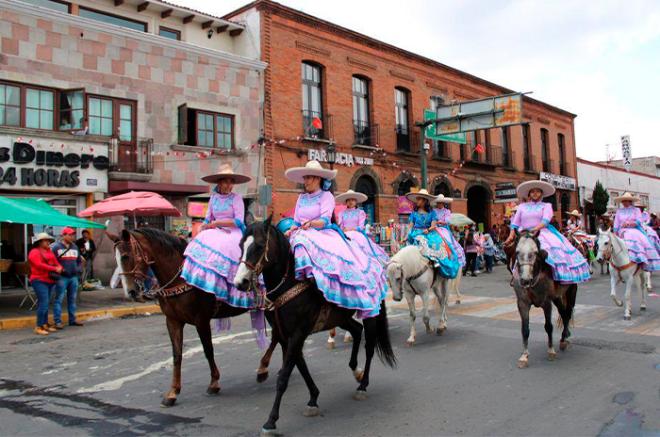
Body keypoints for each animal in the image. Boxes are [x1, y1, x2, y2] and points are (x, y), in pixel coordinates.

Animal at [111, 228, 268, 406]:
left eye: (125, 256)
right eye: (116, 258)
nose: (130, 292)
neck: (179, 277)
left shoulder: (201, 320)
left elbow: (208, 350)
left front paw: (214, 383)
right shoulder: (173, 321)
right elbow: (177, 355)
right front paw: (173, 392)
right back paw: (263, 368)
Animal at [233, 218, 394, 432]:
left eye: (259, 246)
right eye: (240, 245)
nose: (240, 282)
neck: (288, 282)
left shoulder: (298, 333)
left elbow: (284, 376)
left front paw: (271, 421)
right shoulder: (284, 335)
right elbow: (300, 365)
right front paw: (313, 399)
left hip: (371, 313)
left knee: (369, 346)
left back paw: (362, 385)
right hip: (340, 317)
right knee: (356, 331)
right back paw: (356, 371)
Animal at [510, 233, 576, 366]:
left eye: (535, 252)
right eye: (517, 251)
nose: (525, 280)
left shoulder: (546, 303)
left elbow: (548, 326)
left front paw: (551, 351)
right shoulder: (522, 303)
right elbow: (525, 329)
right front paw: (524, 356)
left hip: (571, 291)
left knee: (568, 312)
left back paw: (564, 338)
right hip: (557, 297)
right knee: (564, 313)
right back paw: (564, 338)